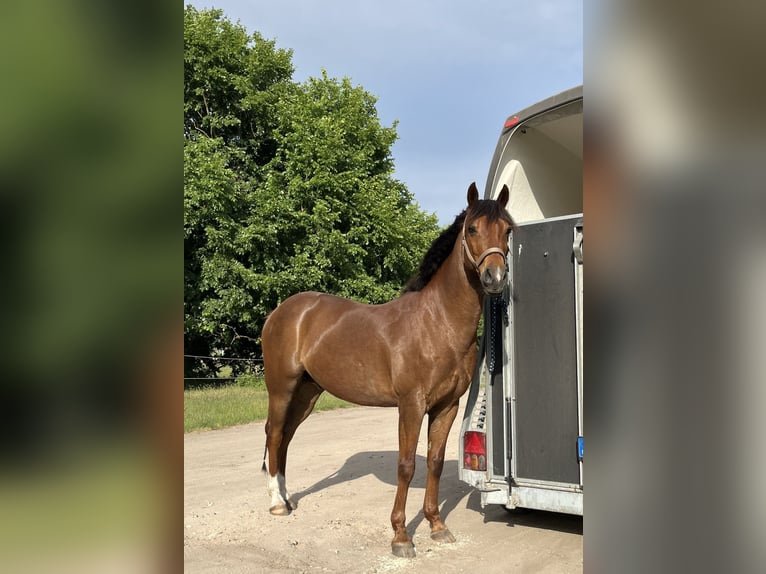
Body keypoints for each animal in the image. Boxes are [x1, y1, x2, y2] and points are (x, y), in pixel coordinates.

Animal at [260, 182, 513, 557]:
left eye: (507, 230)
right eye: (472, 229)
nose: (494, 276)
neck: (437, 322)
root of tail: (282, 311)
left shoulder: (446, 406)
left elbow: (435, 462)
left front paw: (437, 526)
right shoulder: (411, 405)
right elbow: (406, 466)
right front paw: (401, 537)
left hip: (307, 392)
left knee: (287, 437)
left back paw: (288, 498)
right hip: (281, 388)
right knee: (274, 434)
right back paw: (277, 503)